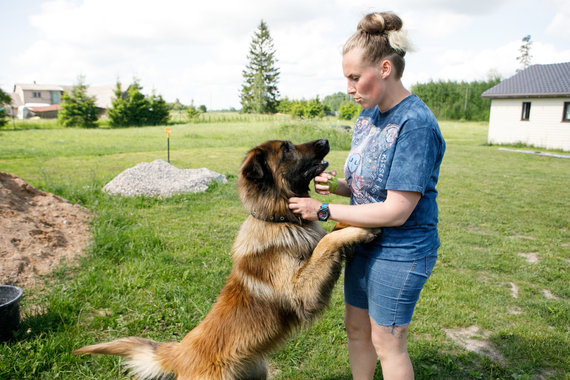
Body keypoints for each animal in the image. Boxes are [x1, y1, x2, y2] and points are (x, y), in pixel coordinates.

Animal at [74, 140, 378, 380]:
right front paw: (362, 229)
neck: (279, 219)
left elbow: (332, 232)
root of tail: (180, 353)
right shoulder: (301, 295)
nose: (325, 140)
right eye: (287, 149)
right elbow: (325, 244)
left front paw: (355, 222)